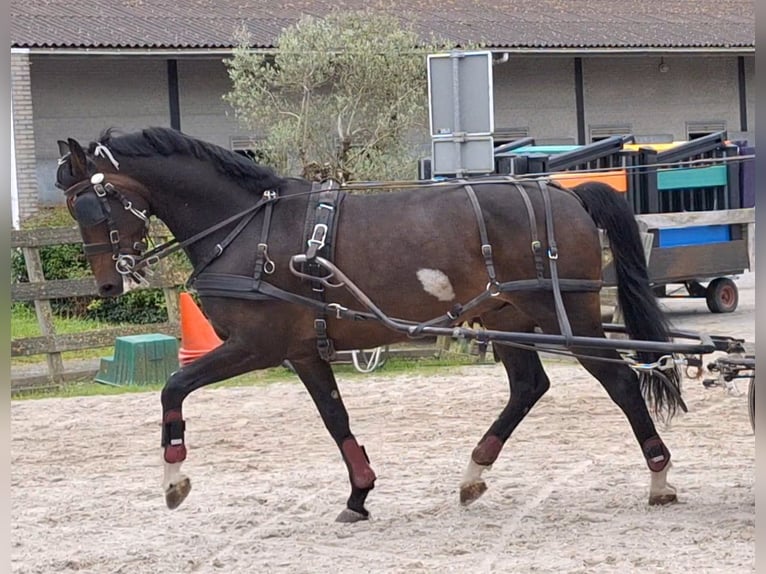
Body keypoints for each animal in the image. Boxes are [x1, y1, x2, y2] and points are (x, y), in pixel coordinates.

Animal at [57, 128, 688, 524]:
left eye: (92, 205)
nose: (108, 285)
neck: (250, 228)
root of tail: (563, 192)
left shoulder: (254, 345)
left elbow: (173, 388)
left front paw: (174, 482)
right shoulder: (303, 351)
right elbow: (335, 418)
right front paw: (359, 494)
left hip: (566, 316)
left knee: (622, 383)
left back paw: (660, 479)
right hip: (504, 318)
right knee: (530, 386)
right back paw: (473, 473)